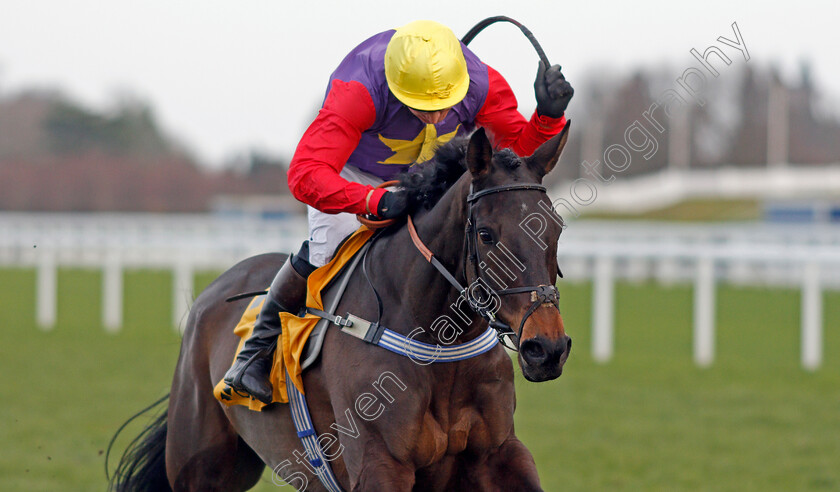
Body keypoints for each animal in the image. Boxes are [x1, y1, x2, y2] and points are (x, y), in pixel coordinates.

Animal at [108, 124, 572, 492]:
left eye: (555, 228)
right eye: (488, 234)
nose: (546, 348)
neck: (440, 346)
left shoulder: (498, 454)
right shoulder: (380, 464)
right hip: (201, 466)